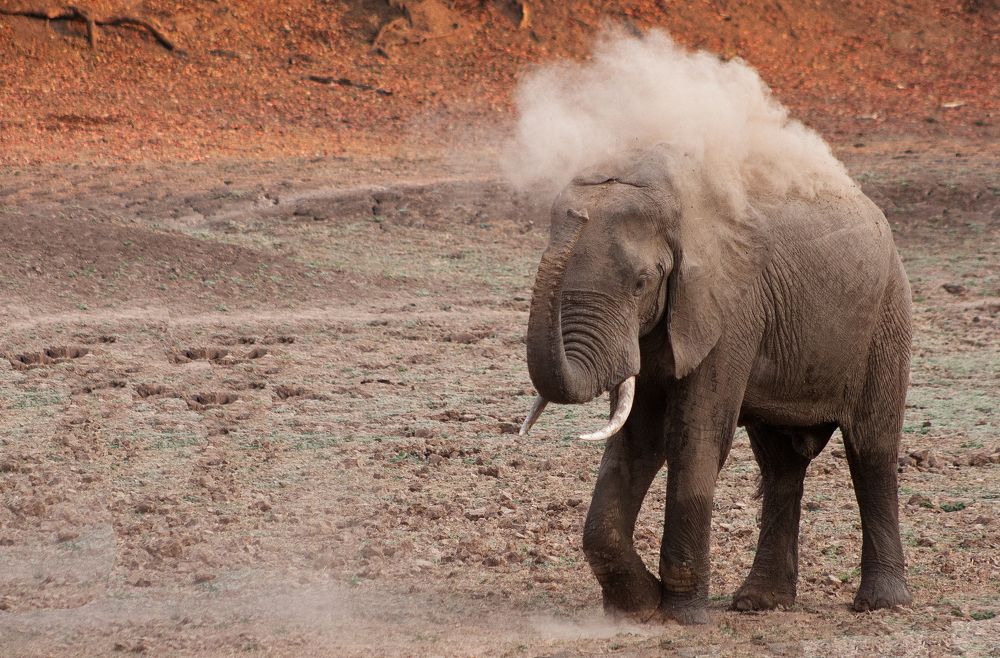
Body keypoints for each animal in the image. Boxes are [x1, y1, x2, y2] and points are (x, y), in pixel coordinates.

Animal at [518, 143, 913, 624]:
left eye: (641, 283)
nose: (578, 214)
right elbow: (637, 440)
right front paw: (639, 607)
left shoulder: (730, 307)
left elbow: (694, 438)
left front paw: (683, 617)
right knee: (780, 464)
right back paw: (759, 603)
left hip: (887, 319)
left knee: (871, 450)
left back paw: (881, 603)